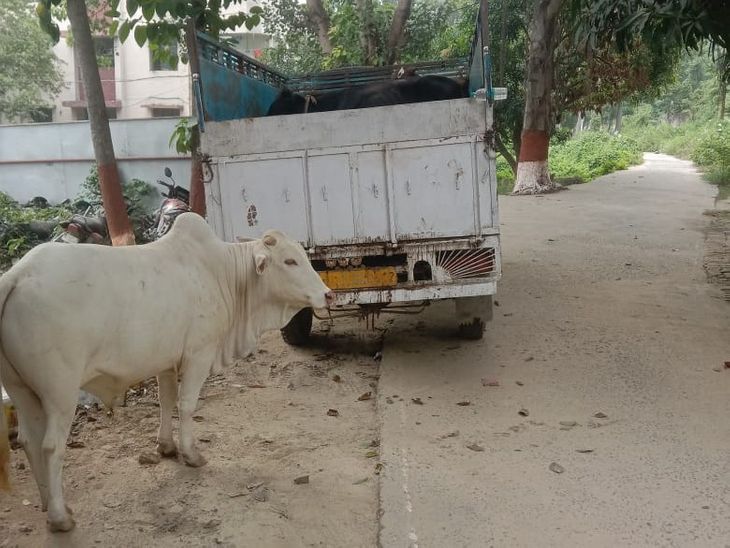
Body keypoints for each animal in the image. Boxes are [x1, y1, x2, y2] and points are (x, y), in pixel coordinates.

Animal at [0, 213, 333, 532]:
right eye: (289, 261)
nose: (327, 294)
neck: (223, 273)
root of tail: (17, 274)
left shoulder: (165, 361)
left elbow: (166, 401)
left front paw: (167, 446)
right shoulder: (199, 354)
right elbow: (186, 405)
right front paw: (191, 454)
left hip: (21, 390)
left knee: (28, 441)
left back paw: (47, 503)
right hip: (60, 393)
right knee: (50, 446)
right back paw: (60, 517)